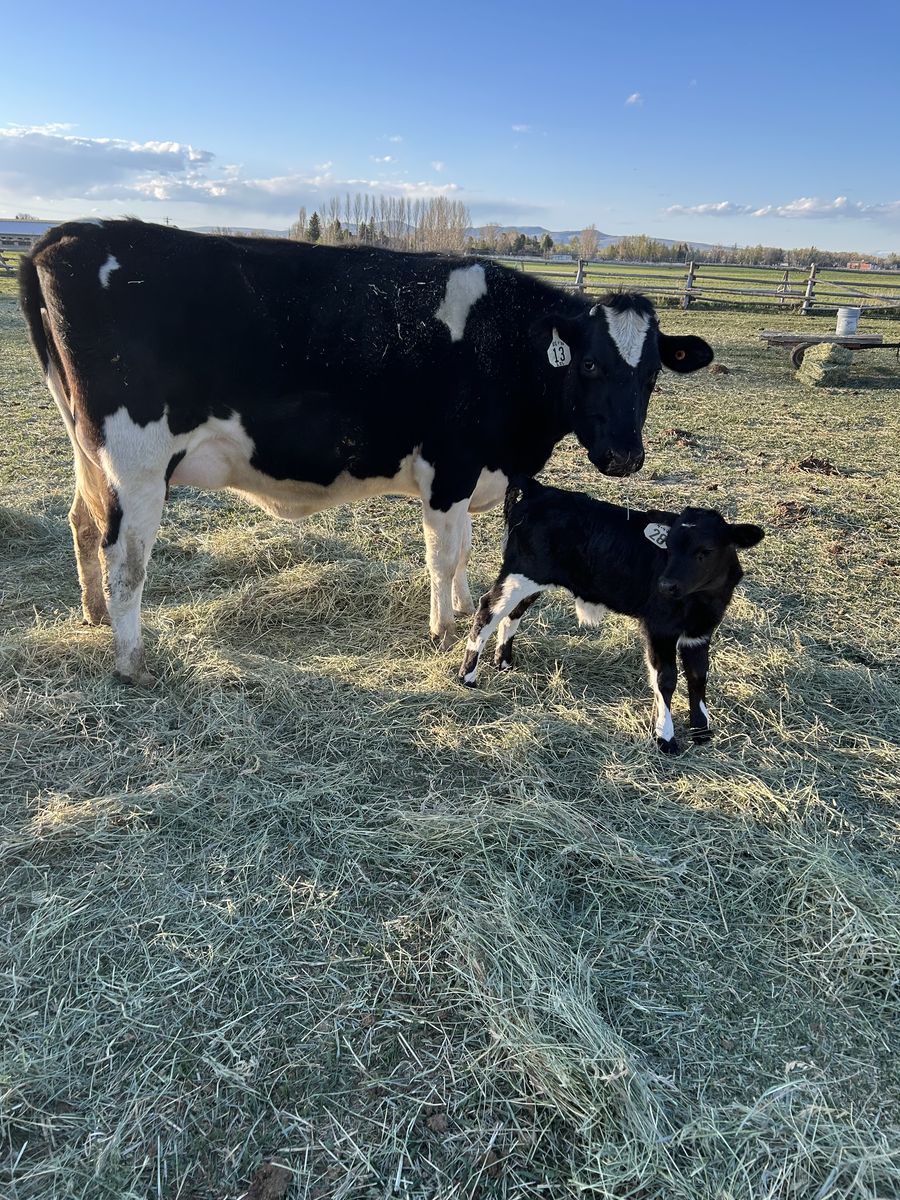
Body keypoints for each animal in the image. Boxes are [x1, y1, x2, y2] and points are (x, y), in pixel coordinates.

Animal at [19, 219, 714, 685]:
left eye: (653, 374)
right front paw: (443, 629)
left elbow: (466, 553)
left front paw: (468, 609)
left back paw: (93, 615)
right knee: (127, 562)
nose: (625, 457)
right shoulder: (447, 468)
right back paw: (131, 660)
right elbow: (444, 555)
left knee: (82, 523)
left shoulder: (470, 476)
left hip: (90, 453)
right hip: (136, 464)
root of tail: (68, 234)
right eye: (590, 365)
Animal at [459, 477, 764, 754]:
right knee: (487, 611)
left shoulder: (700, 632)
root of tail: (539, 489)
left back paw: (504, 662)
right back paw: (468, 677)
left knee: (512, 615)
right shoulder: (659, 627)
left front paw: (702, 730)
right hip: (520, 573)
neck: (701, 599)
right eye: (668, 546)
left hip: (534, 581)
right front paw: (665, 738)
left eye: (706, 551)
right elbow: (666, 678)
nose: (666, 585)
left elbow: (699, 676)